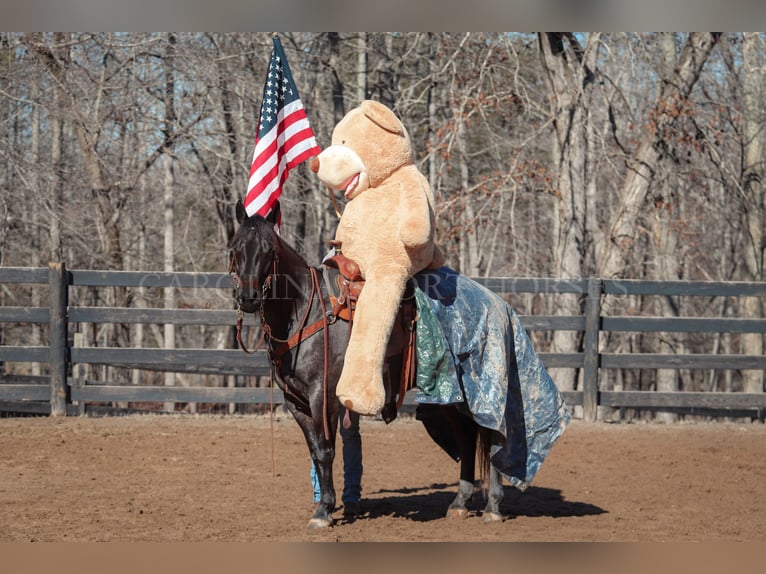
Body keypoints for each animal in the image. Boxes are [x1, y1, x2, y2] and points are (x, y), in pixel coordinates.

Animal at [228, 200, 504, 528]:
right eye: (235, 248)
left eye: (270, 249)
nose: (247, 297)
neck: (306, 310)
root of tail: (493, 301)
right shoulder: (295, 400)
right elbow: (314, 450)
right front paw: (323, 505)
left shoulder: (322, 396)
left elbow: (325, 450)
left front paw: (324, 511)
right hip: (450, 396)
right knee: (467, 438)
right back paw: (460, 503)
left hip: (477, 386)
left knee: (491, 433)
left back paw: (493, 507)